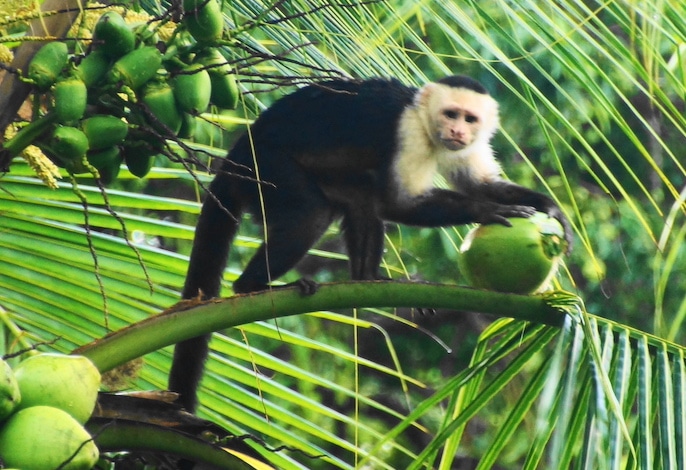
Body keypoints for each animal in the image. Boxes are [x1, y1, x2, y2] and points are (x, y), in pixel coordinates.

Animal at [169, 73, 572, 412]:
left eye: (470, 119)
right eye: (450, 114)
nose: (457, 130)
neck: (426, 121)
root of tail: (236, 154)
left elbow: (480, 184)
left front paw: (550, 209)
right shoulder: (409, 133)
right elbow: (399, 204)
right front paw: (487, 211)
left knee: (362, 195)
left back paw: (369, 279)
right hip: (264, 167)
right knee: (312, 214)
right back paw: (254, 285)